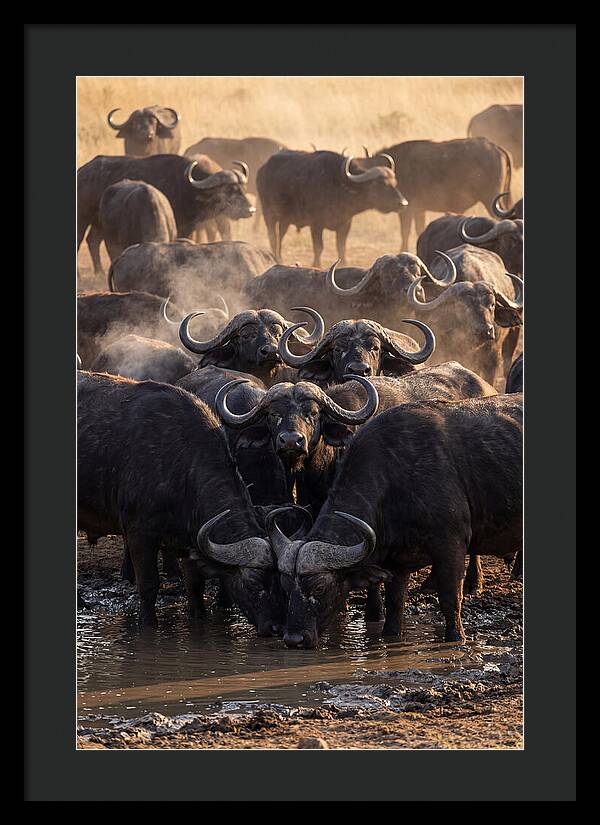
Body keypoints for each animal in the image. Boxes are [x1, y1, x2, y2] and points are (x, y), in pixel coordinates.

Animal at [77, 371, 280, 633]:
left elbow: (195, 586)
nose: (276, 627)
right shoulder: (139, 533)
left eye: (279, 579)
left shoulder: (188, 540)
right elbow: (149, 586)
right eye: (254, 581)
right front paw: (148, 625)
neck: (181, 465)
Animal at [256, 150, 408, 266]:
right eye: (380, 184)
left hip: (285, 219)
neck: (339, 186)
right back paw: (276, 258)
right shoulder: (316, 224)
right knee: (272, 237)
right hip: (268, 214)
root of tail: (262, 170)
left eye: (394, 183)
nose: (403, 203)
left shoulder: (345, 224)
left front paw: (344, 263)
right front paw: (316, 264)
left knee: (280, 235)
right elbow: (319, 247)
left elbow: (341, 246)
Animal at [271, 393, 522, 648]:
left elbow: (450, 600)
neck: (396, 480)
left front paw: (456, 638)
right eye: (285, 586)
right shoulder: (397, 563)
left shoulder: (451, 545)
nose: (294, 639)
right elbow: (394, 607)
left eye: (320, 587)